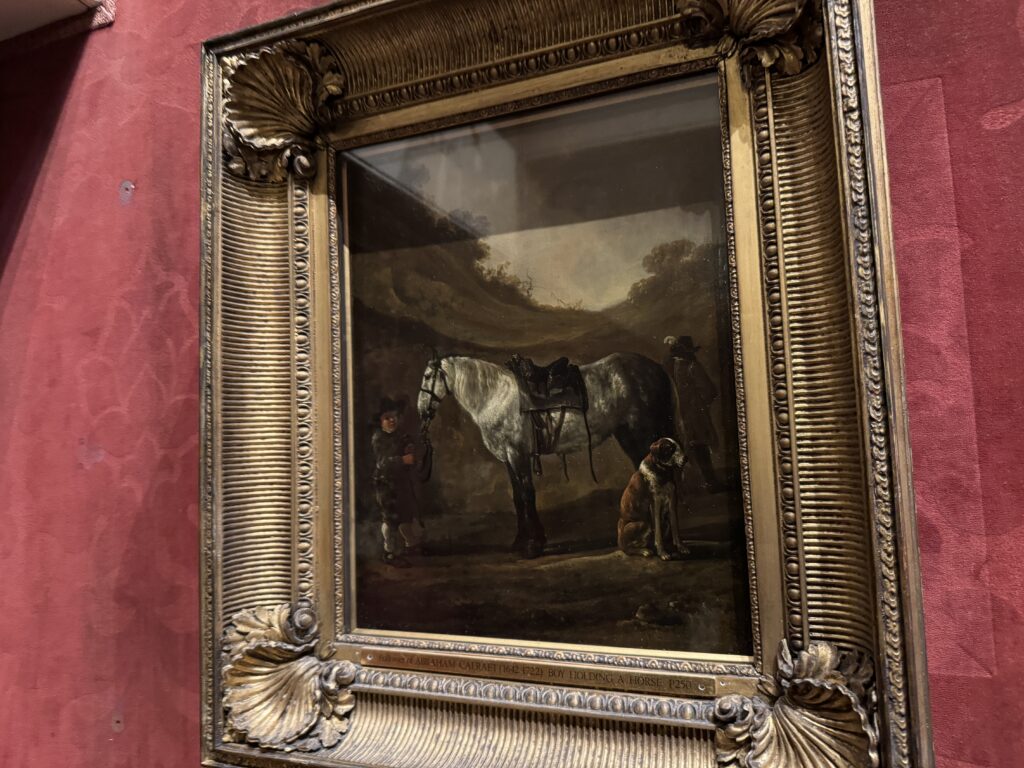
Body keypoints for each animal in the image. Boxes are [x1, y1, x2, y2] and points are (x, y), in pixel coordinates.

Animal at [417, 352, 676, 558]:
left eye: (428, 376)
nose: (421, 411)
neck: (495, 396)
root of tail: (655, 368)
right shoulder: (508, 458)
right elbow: (517, 498)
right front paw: (521, 541)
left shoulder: (518, 454)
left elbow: (527, 495)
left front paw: (532, 545)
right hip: (629, 436)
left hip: (642, 435)